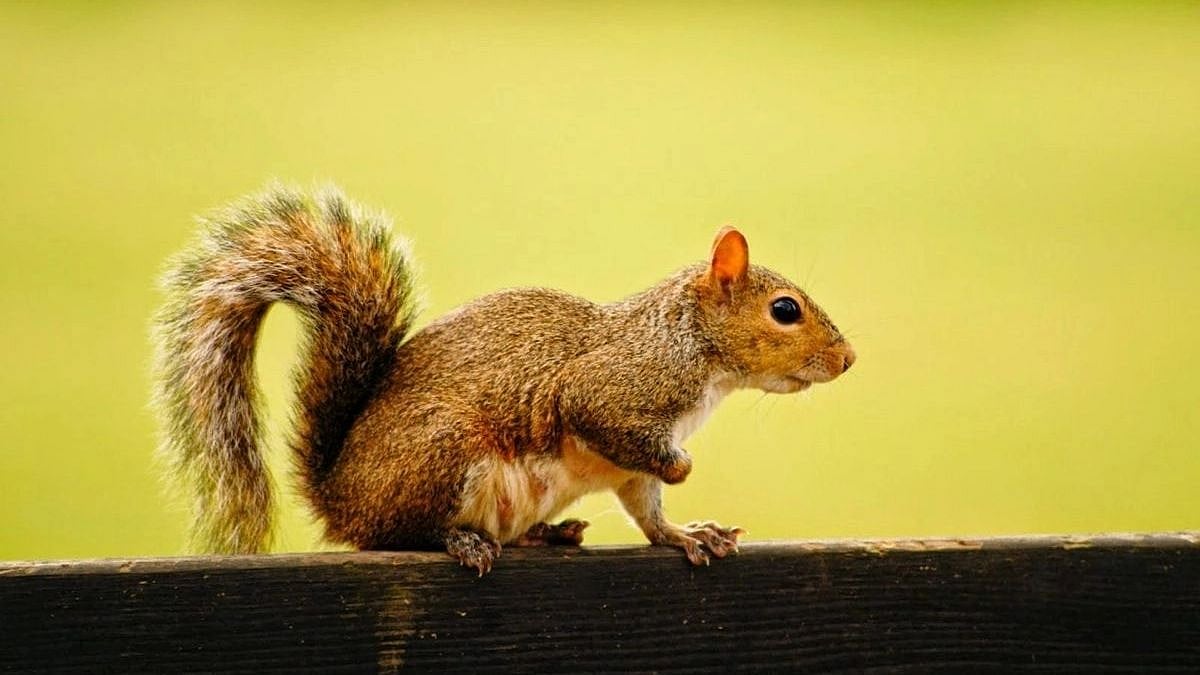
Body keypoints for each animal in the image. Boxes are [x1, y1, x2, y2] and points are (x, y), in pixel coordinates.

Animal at [153, 184, 856, 574]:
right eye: (785, 310)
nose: (847, 359)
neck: (690, 345)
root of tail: (340, 496)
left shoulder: (631, 469)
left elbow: (647, 512)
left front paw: (689, 534)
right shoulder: (610, 392)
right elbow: (617, 430)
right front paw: (682, 470)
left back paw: (549, 534)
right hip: (445, 452)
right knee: (406, 534)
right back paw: (464, 541)